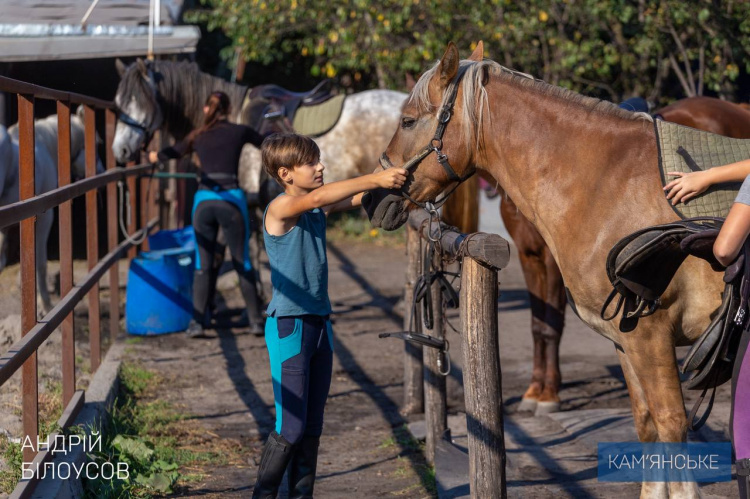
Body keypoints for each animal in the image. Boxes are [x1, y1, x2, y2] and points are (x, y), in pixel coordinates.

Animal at [368, 42, 732, 496]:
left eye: (408, 120)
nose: (371, 198)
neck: (609, 187)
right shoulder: (625, 341)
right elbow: (647, 427)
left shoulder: (652, 338)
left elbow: (671, 428)